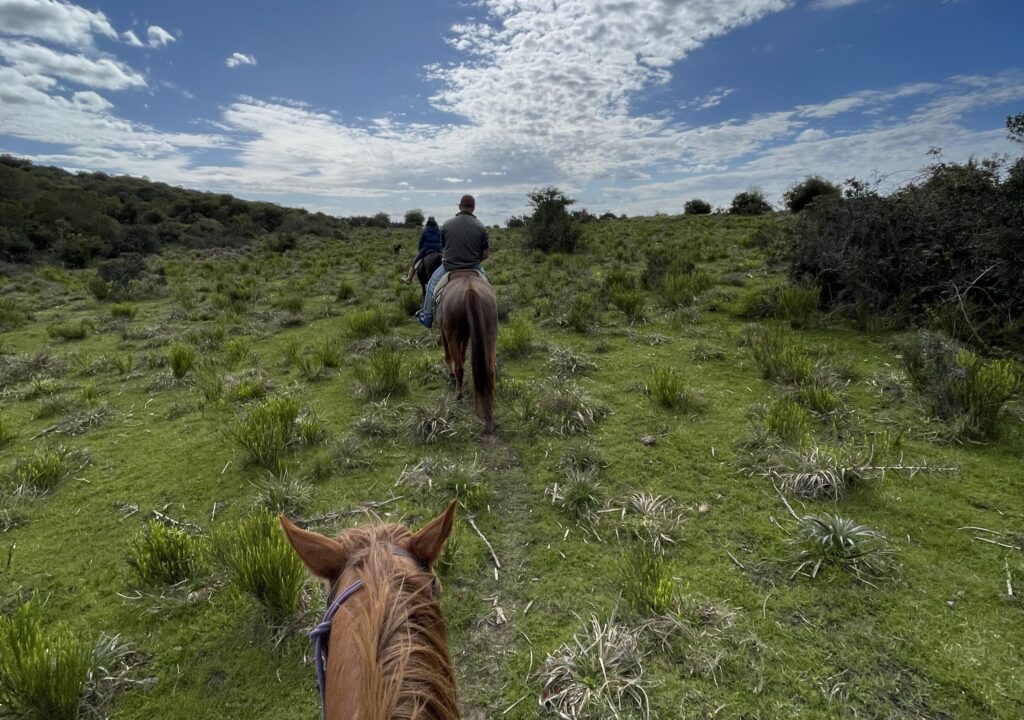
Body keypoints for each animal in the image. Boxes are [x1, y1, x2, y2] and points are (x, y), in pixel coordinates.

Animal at [434, 270, 497, 436]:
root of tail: (470, 290)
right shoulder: (467, 335)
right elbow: (462, 355)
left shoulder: (444, 332)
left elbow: (448, 356)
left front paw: (450, 378)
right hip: (490, 333)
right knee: (489, 371)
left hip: (452, 333)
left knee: (459, 367)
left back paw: (459, 395)